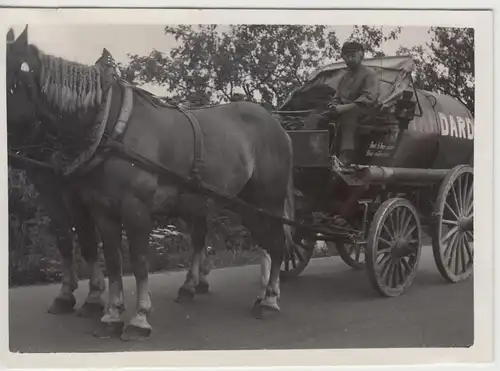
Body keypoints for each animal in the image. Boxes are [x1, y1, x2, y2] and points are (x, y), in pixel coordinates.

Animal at [5, 24, 296, 342]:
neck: (109, 125)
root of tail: (277, 124)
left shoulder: (133, 206)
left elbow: (139, 260)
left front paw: (138, 317)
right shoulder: (100, 208)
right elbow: (112, 259)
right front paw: (111, 314)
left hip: (268, 200)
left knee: (277, 243)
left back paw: (269, 300)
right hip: (245, 203)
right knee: (260, 242)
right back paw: (252, 293)